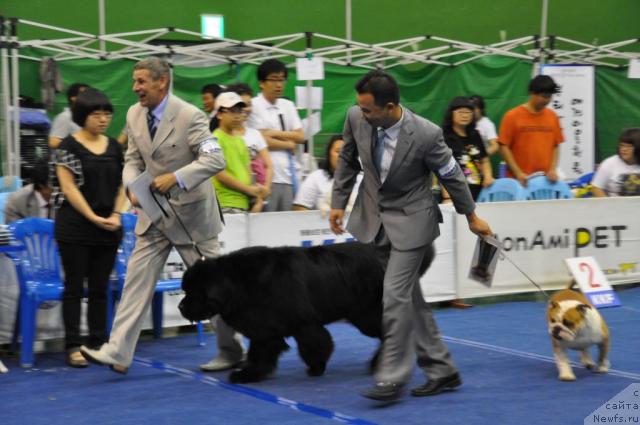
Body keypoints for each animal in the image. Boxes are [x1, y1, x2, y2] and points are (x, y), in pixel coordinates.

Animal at [178, 240, 432, 382]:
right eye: (185, 290)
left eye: (193, 291)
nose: (181, 307)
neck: (239, 284)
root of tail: (386, 254)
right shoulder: (264, 329)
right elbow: (260, 354)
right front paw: (249, 374)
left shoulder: (303, 323)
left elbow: (315, 345)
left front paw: (316, 368)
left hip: (366, 314)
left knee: (391, 331)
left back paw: (378, 363)